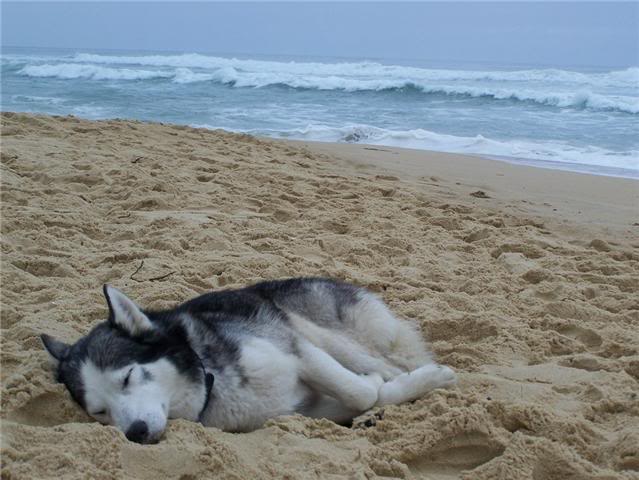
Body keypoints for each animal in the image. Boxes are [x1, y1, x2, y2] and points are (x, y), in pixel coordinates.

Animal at [42, 278, 458, 442]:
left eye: (128, 377)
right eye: (99, 412)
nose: (136, 433)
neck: (214, 381)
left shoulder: (296, 348)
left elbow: (361, 391)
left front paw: (385, 384)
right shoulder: (307, 411)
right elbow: (366, 396)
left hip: (312, 327)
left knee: (390, 363)